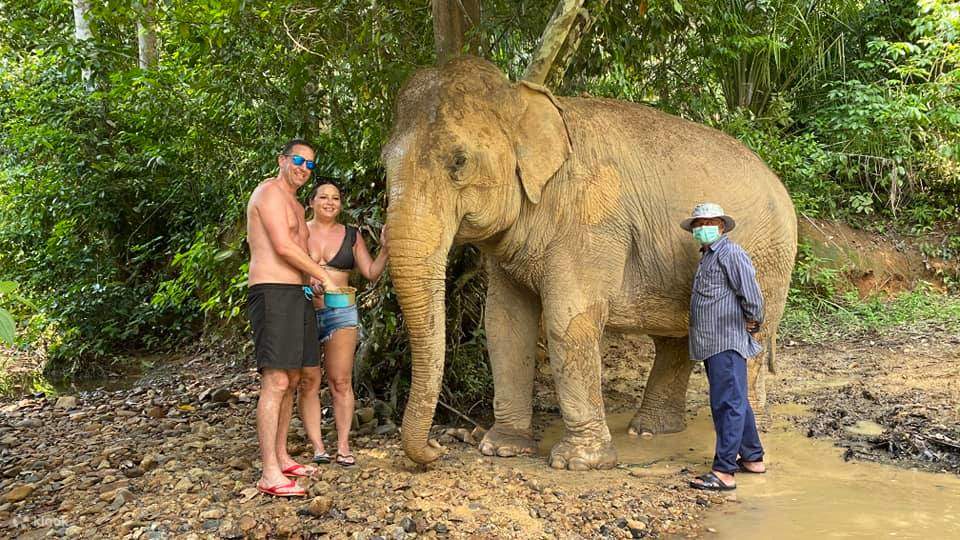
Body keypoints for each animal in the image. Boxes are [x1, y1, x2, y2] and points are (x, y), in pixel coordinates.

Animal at [381, 56, 797, 470]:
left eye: (459, 161)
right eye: (384, 163)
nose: (439, 447)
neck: (524, 100)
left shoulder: (592, 221)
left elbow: (568, 320)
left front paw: (577, 463)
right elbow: (504, 323)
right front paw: (502, 448)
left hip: (768, 257)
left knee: (751, 338)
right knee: (677, 338)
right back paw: (648, 431)